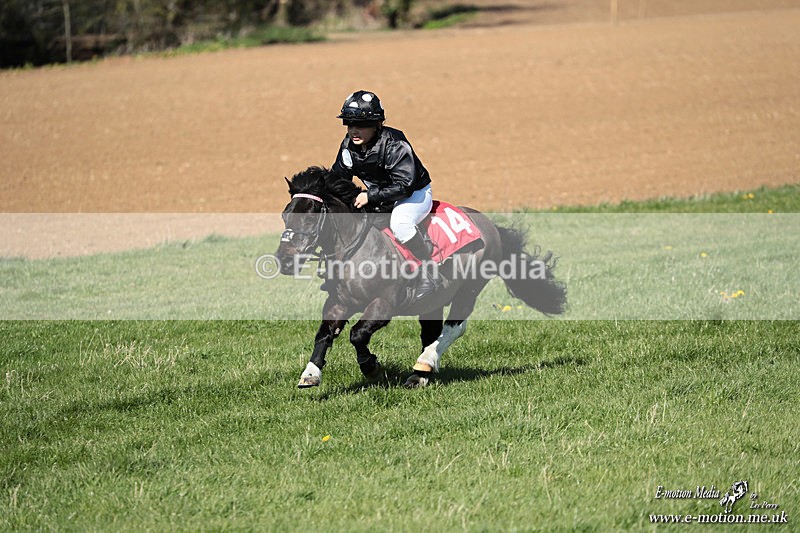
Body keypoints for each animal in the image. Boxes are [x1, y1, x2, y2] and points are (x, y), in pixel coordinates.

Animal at [274, 166, 567, 388]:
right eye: (285, 214)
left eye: (310, 216)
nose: (284, 260)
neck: (358, 250)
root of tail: (489, 224)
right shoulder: (339, 302)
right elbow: (324, 334)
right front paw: (310, 374)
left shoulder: (383, 305)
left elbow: (357, 335)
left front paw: (372, 368)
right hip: (433, 300)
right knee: (431, 331)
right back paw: (419, 375)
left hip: (469, 288)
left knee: (454, 327)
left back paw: (425, 363)